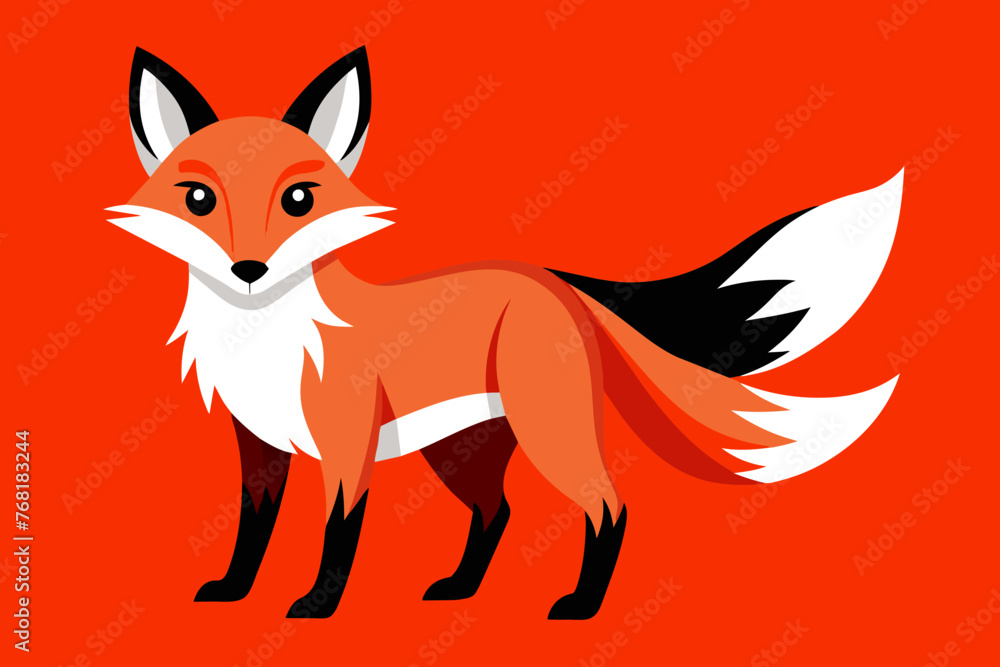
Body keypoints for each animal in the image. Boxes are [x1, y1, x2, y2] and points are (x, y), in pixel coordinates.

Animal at [109, 46, 902, 620]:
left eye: (300, 198)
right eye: (199, 198)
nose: (249, 268)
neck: (266, 340)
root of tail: (553, 280)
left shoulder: (346, 447)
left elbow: (337, 534)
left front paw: (317, 605)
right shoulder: (259, 445)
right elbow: (253, 531)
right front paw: (235, 591)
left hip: (549, 433)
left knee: (609, 507)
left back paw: (581, 605)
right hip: (460, 451)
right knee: (500, 511)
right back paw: (462, 587)